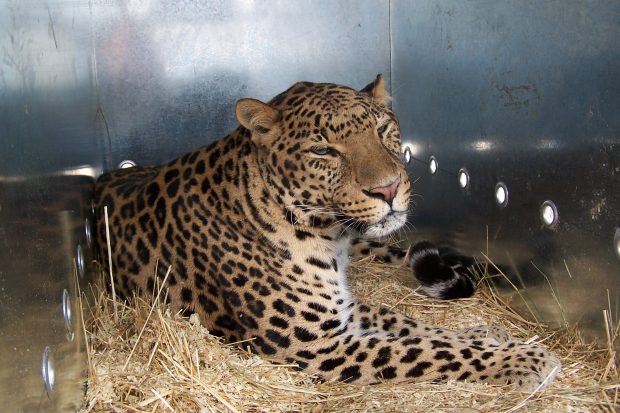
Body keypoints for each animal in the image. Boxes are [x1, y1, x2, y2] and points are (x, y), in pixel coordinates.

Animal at [93, 75, 560, 388]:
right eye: (323, 150)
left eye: (382, 130)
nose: (388, 188)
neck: (325, 234)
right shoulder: (318, 345)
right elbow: (429, 350)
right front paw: (524, 359)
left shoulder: (346, 312)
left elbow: (410, 323)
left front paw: (484, 334)